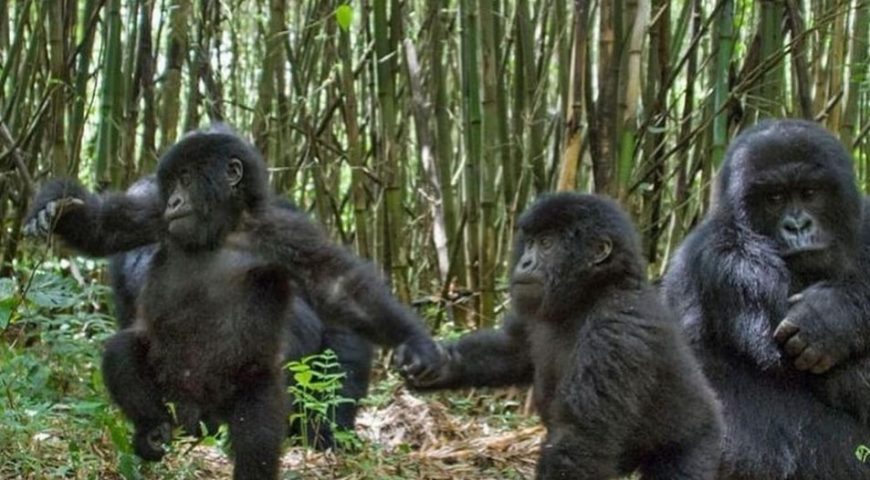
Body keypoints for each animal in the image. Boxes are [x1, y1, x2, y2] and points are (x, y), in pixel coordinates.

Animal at [23, 125, 446, 478]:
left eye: (186, 178)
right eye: (170, 185)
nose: (174, 201)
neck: (225, 228)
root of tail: (199, 417)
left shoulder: (285, 231)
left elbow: (337, 287)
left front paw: (418, 345)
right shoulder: (152, 215)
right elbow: (105, 229)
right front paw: (54, 207)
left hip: (251, 391)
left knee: (255, 434)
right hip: (172, 398)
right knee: (122, 350)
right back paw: (152, 429)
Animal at [406, 192, 724, 480]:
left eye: (547, 244)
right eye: (530, 243)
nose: (524, 263)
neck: (591, 292)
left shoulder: (616, 331)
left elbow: (579, 439)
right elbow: (512, 351)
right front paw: (439, 364)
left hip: (701, 443)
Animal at [668, 119, 870, 480]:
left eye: (809, 193)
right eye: (774, 198)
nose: (797, 225)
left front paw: (830, 316)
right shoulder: (727, 259)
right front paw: (829, 318)